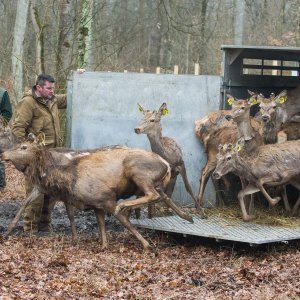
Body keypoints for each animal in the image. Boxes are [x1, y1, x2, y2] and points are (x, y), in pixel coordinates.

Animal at [2, 135, 193, 250]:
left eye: (23, 147)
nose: (3, 154)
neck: (67, 179)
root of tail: (166, 164)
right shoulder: (96, 204)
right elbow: (100, 225)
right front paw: (103, 245)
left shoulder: (106, 198)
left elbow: (124, 222)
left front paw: (146, 245)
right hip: (150, 182)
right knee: (161, 195)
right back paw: (187, 216)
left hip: (138, 171)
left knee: (154, 196)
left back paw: (126, 206)